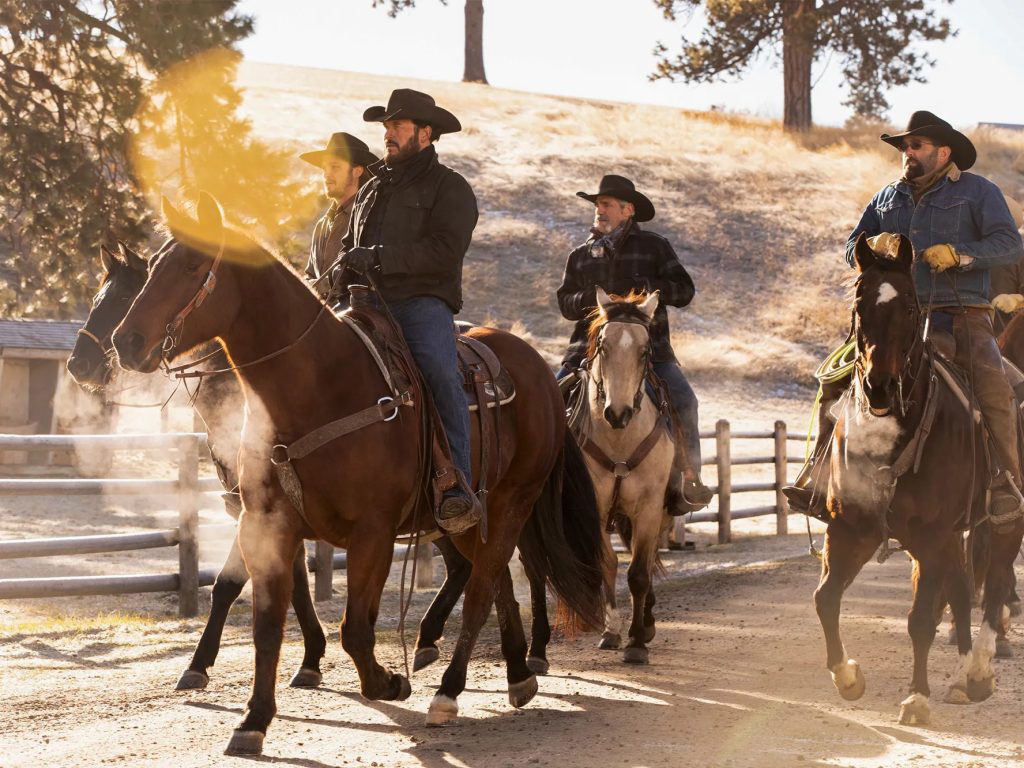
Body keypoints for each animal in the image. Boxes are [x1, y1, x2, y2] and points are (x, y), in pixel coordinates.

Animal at [112, 193, 606, 757]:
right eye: (154, 264)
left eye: (193, 266)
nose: (126, 340)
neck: (318, 385)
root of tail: (542, 370)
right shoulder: (267, 526)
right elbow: (267, 626)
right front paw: (253, 720)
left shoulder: (372, 532)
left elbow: (355, 629)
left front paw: (389, 682)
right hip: (470, 518)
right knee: (494, 579)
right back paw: (518, 674)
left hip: (512, 502)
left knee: (483, 589)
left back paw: (448, 692)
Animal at [577, 290, 671, 663]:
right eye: (603, 346)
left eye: (645, 350)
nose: (617, 413)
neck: (619, 439)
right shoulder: (596, 507)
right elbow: (608, 563)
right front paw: (613, 631)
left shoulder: (649, 508)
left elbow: (640, 574)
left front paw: (637, 642)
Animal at [815, 234, 1024, 729]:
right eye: (859, 303)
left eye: (911, 306)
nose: (879, 386)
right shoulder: (851, 529)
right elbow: (825, 599)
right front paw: (847, 677)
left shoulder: (932, 535)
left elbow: (920, 619)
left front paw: (916, 698)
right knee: (965, 588)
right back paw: (964, 675)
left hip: (1001, 521)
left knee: (995, 583)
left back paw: (980, 668)